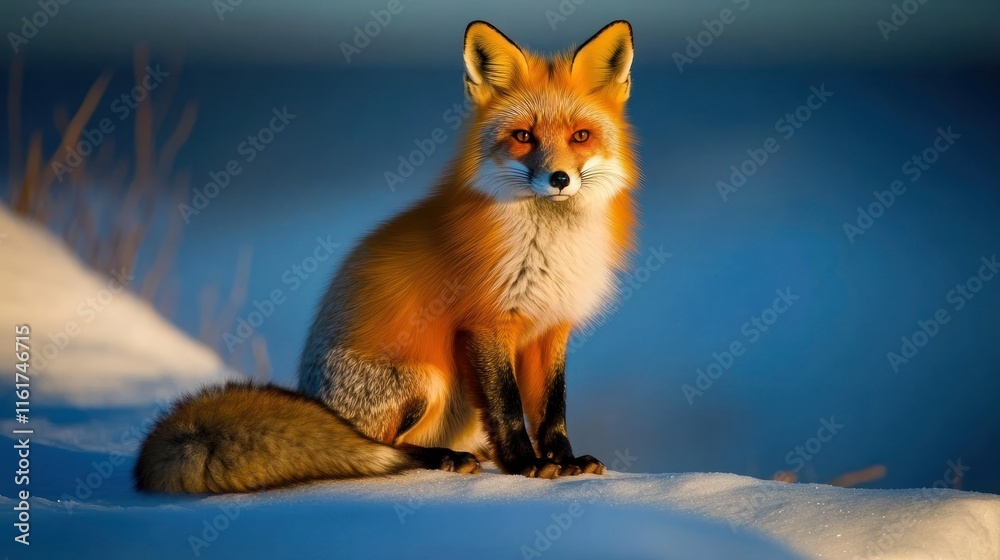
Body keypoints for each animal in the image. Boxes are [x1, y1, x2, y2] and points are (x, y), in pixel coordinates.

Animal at [134, 19, 639, 493]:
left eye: (581, 136)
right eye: (522, 136)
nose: (559, 179)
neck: (549, 247)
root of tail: (315, 398)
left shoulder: (552, 325)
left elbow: (553, 409)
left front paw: (566, 461)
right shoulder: (488, 322)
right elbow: (508, 407)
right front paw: (524, 464)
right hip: (426, 379)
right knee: (383, 447)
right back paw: (442, 457)